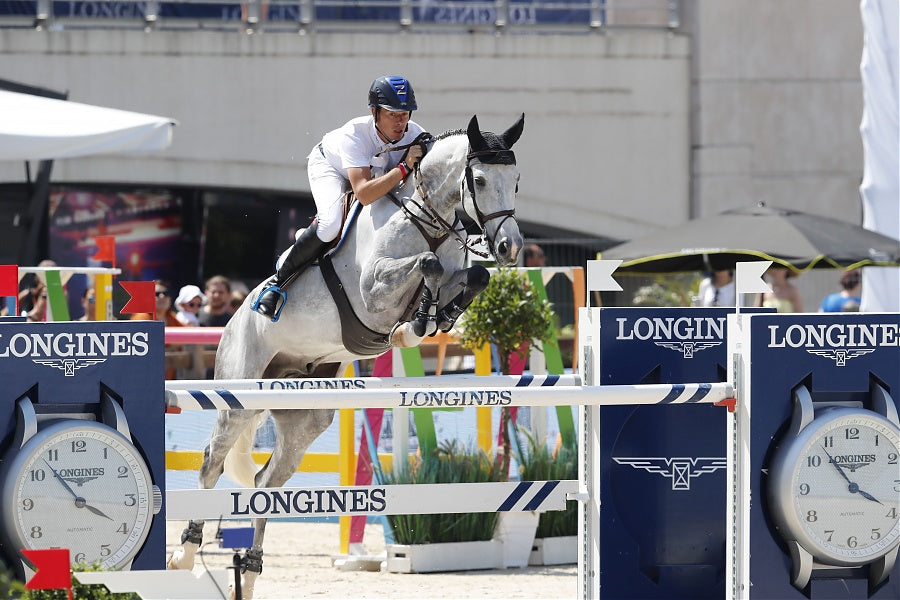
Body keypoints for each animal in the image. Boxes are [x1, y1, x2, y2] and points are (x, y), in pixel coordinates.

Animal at [167, 112, 528, 596]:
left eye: (517, 180)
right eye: (482, 179)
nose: (510, 248)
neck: (429, 221)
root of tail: (234, 318)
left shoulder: (455, 273)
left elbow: (472, 277)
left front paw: (432, 319)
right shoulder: (372, 290)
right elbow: (426, 267)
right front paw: (413, 325)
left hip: (306, 415)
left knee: (266, 482)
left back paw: (252, 570)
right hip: (239, 397)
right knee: (211, 464)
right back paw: (184, 555)